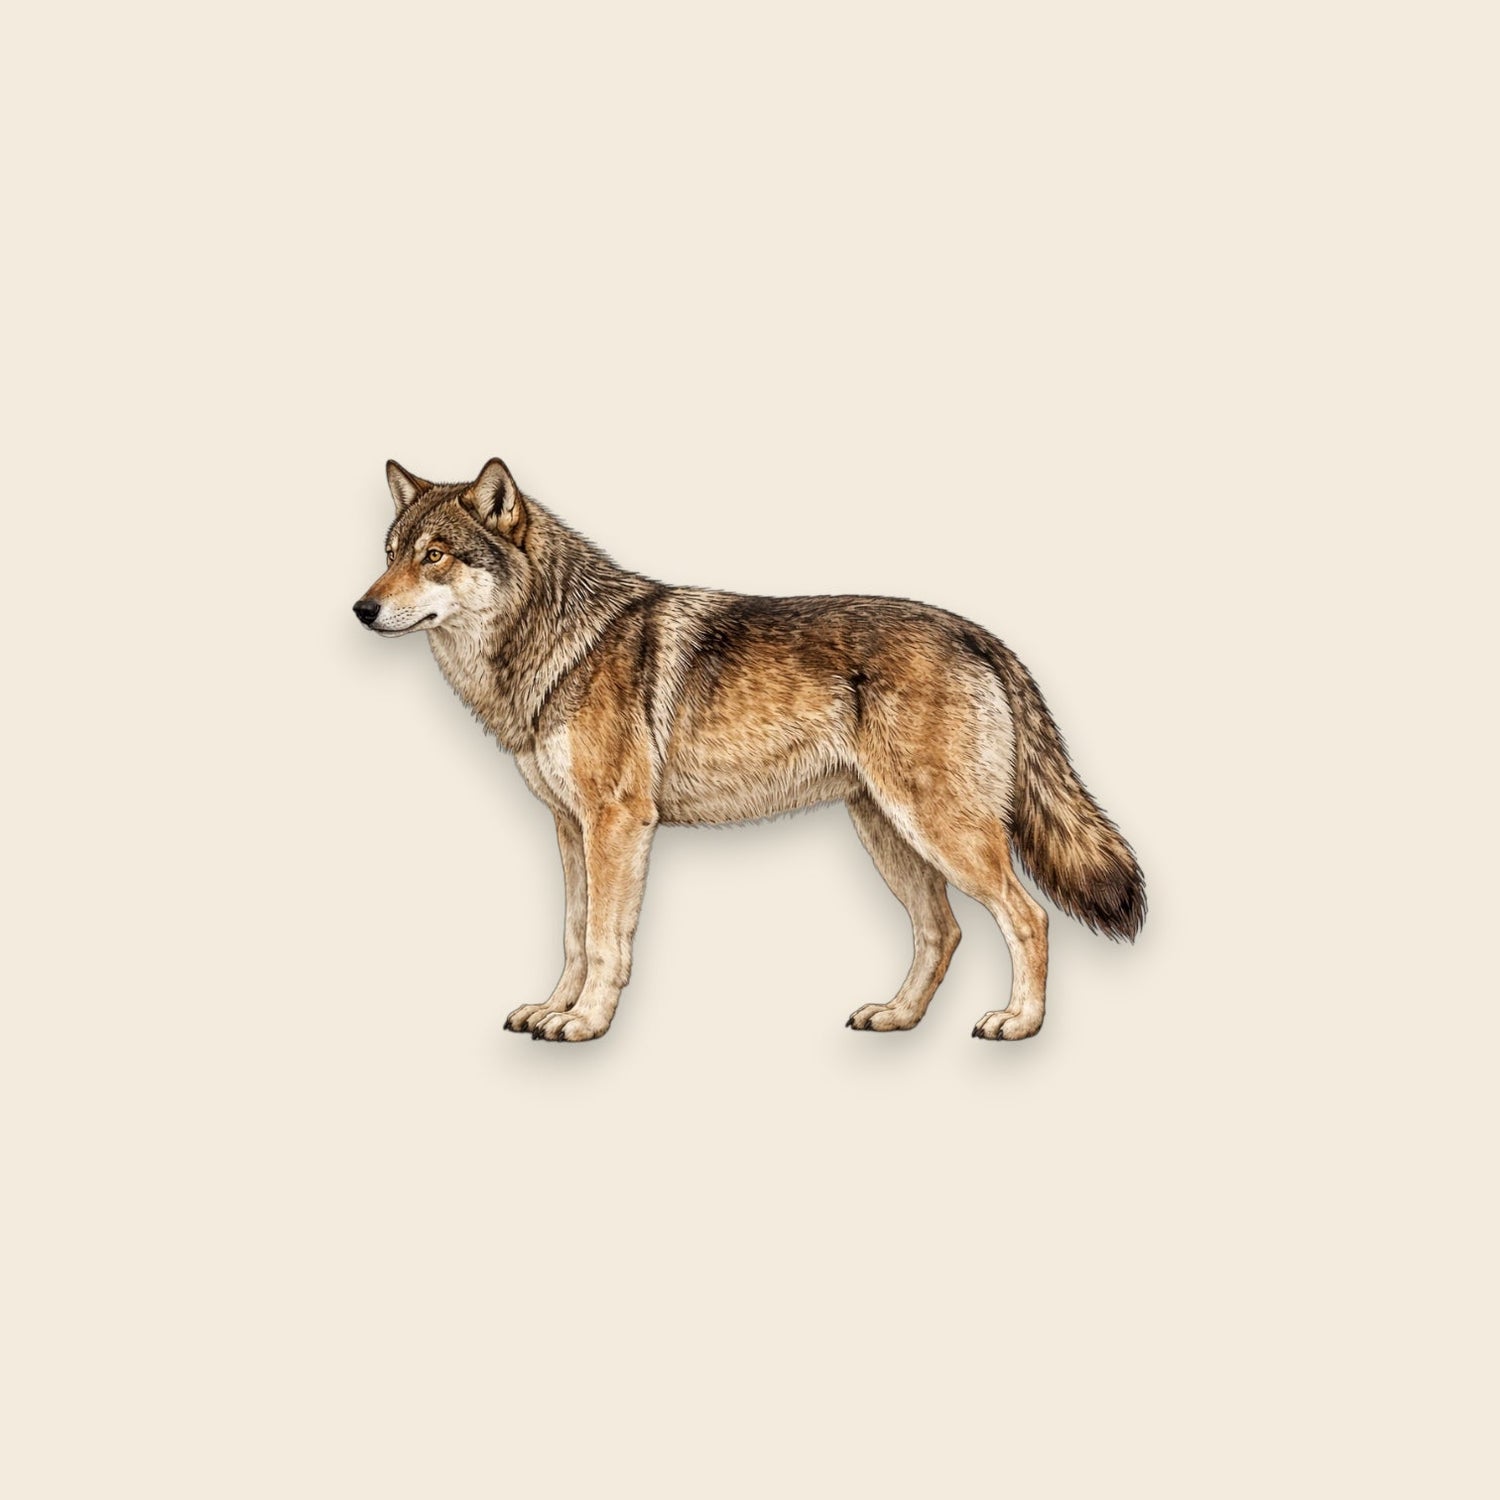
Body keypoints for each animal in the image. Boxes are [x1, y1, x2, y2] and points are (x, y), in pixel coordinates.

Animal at [353, 457, 1145, 1043]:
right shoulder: (570, 828)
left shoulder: (617, 824)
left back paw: (1019, 1023)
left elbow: (606, 939)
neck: (554, 644)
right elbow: (575, 933)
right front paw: (554, 1008)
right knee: (942, 931)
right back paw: (897, 1017)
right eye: (389, 556)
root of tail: (979, 634)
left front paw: (584, 1023)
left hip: (944, 834)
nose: (362, 609)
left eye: (435, 557)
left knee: (1029, 918)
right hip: (890, 835)